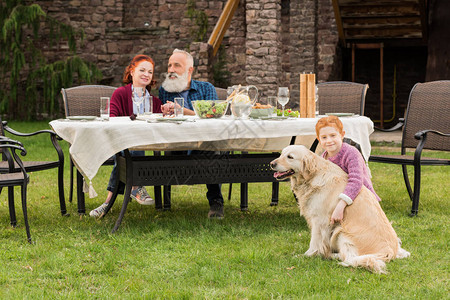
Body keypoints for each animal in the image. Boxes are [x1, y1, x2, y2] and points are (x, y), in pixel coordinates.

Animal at [268, 144, 410, 274]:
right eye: (281, 154)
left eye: (290, 157)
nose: (271, 164)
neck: (312, 177)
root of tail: (390, 251)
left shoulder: (319, 221)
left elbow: (314, 242)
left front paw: (307, 255)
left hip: (342, 232)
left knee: (349, 258)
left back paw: (330, 255)